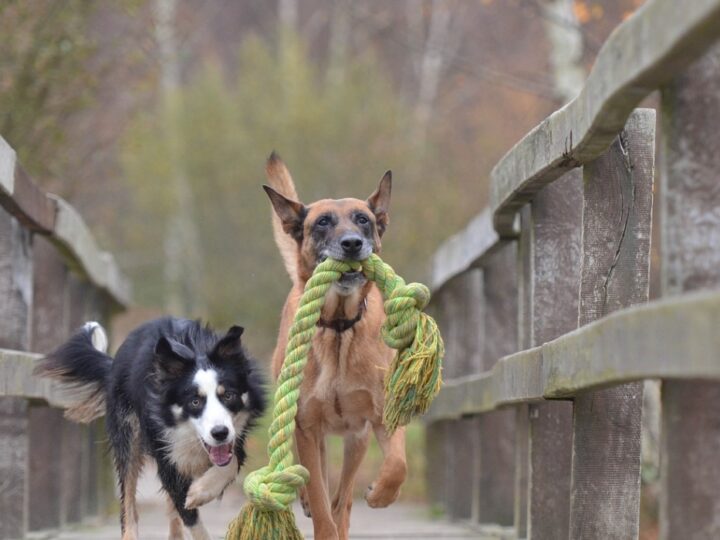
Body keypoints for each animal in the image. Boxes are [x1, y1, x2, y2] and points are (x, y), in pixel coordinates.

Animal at [35, 318, 266, 540]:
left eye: (228, 396)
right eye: (195, 402)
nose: (219, 433)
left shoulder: (236, 436)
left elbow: (231, 461)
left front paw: (201, 491)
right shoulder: (164, 449)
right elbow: (188, 513)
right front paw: (195, 497)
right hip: (127, 432)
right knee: (128, 496)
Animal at [262, 153, 404, 540]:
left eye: (363, 220)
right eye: (323, 222)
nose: (352, 243)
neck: (340, 328)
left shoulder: (381, 416)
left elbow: (397, 464)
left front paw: (381, 495)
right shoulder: (307, 427)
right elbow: (320, 499)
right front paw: (318, 512)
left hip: (356, 440)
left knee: (343, 499)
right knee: (320, 485)